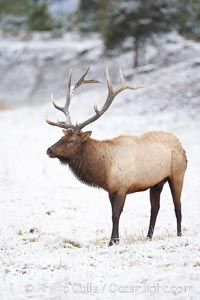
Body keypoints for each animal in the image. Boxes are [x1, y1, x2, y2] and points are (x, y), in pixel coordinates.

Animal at [46, 67, 187, 246]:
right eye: (62, 136)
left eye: (71, 141)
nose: (49, 150)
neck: (104, 169)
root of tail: (180, 144)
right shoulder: (110, 190)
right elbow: (113, 213)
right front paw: (115, 240)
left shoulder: (122, 187)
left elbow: (116, 214)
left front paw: (112, 241)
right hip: (156, 182)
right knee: (155, 208)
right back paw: (148, 237)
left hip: (177, 174)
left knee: (178, 206)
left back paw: (179, 235)